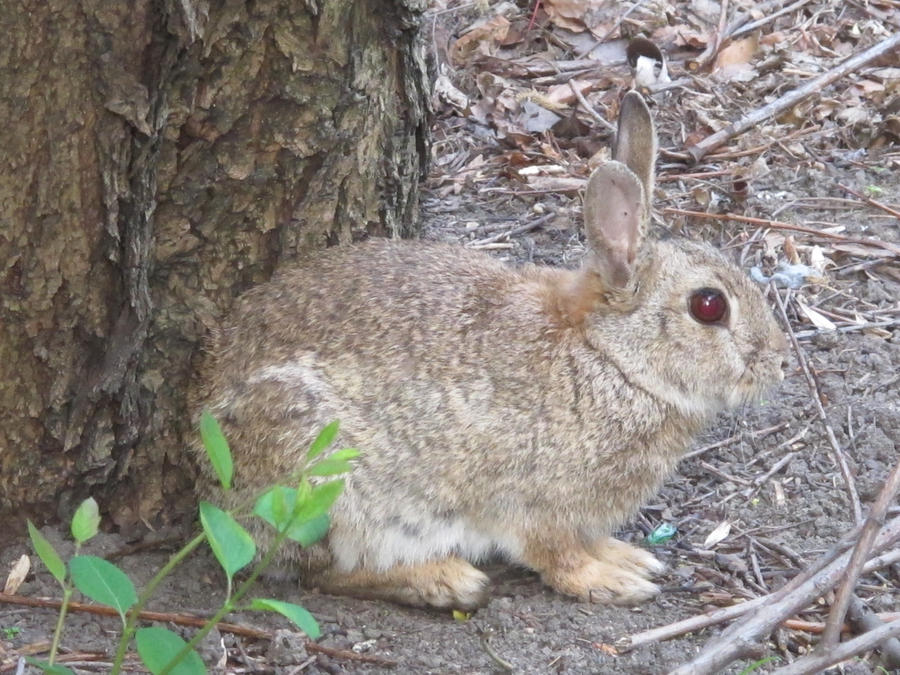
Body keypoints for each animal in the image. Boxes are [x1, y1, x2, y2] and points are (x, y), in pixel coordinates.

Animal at [194, 91, 786, 610]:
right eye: (709, 306)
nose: (778, 364)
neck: (609, 358)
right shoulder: (537, 505)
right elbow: (557, 556)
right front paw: (611, 581)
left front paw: (627, 558)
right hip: (325, 482)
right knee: (323, 572)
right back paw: (444, 581)